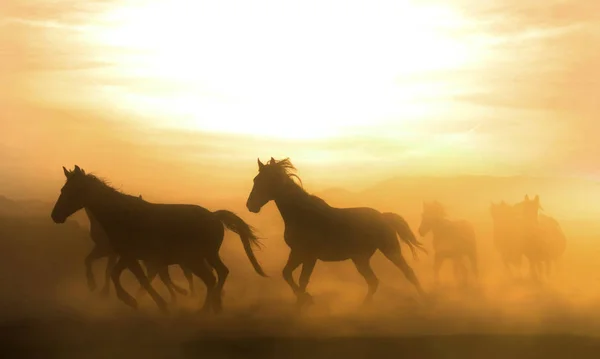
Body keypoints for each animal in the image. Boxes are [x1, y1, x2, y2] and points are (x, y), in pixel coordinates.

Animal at [51, 165, 268, 314]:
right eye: (62, 190)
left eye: (70, 191)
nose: (55, 216)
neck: (122, 215)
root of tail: (214, 216)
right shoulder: (128, 257)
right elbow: (120, 275)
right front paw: (133, 300)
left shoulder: (131, 257)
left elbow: (138, 279)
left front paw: (145, 302)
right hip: (208, 256)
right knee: (221, 273)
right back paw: (215, 307)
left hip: (194, 259)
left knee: (211, 278)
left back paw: (204, 310)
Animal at [244, 158, 426, 310]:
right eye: (255, 180)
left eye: (265, 180)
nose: (250, 205)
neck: (302, 215)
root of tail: (383, 216)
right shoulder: (297, 252)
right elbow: (287, 274)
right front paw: (302, 301)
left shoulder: (309, 256)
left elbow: (302, 280)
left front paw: (305, 300)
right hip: (360, 258)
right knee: (373, 281)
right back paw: (364, 307)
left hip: (390, 250)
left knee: (407, 272)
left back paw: (424, 299)